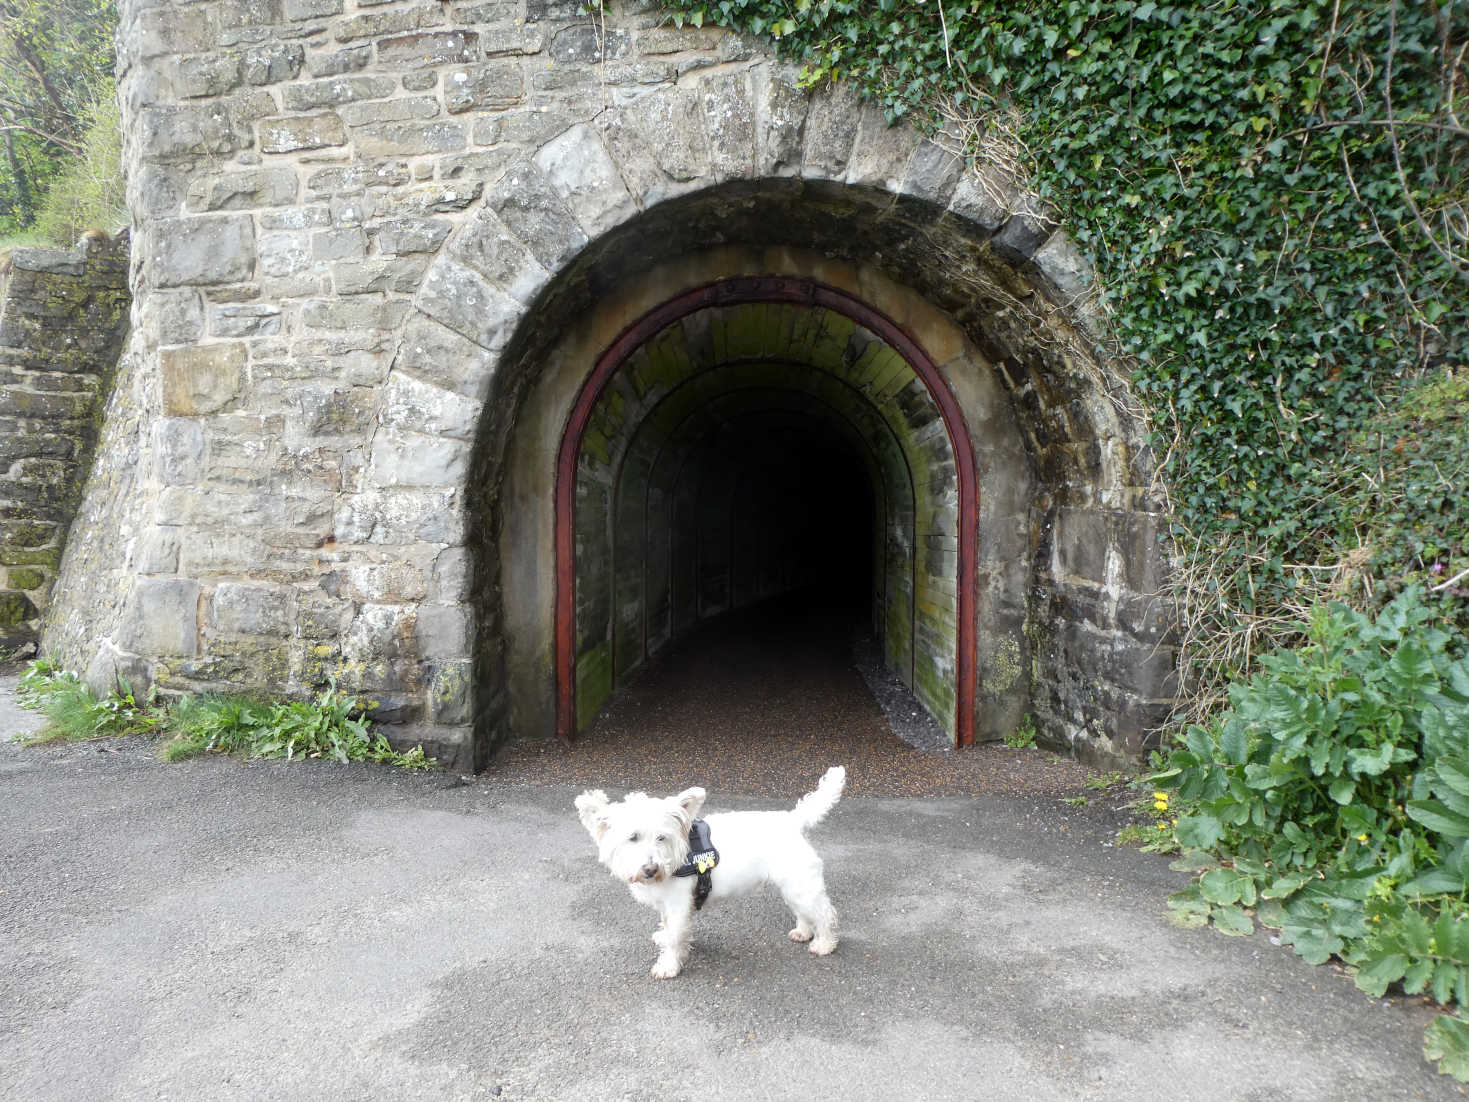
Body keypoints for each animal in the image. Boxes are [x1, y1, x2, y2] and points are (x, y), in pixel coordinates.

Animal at [575, 769, 852, 981]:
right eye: (632, 837)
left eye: (661, 837)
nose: (651, 869)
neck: (675, 858)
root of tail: (793, 821)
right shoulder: (667, 905)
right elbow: (668, 927)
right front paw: (664, 938)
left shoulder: (677, 904)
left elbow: (675, 936)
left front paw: (668, 966)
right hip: (792, 886)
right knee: (804, 912)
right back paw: (803, 932)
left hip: (801, 885)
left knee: (825, 913)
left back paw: (824, 944)